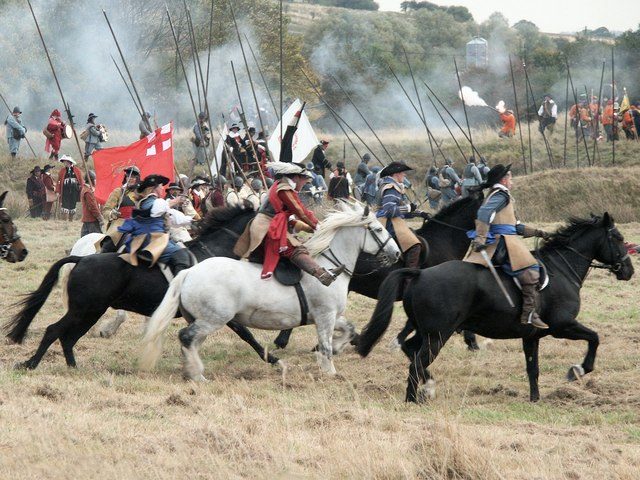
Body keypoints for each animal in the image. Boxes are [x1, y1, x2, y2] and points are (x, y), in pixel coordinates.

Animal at [3, 202, 280, 372]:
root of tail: (81, 258)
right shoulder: (218, 313)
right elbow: (246, 333)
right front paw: (272, 359)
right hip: (84, 310)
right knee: (54, 331)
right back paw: (31, 364)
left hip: (90, 312)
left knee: (68, 337)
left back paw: (72, 367)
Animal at [141, 204, 400, 380]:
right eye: (378, 228)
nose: (397, 253)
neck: (327, 266)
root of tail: (190, 271)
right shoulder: (325, 316)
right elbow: (326, 345)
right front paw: (330, 371)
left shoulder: (329, 316)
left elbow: (349, 329)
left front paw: (336, 349)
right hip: (213, 319)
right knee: (187, 337)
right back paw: (197, 375)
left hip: (203, 320)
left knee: (191, 342)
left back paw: (192, 371)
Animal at [358, 212, 632, 404]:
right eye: (618, 238)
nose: (629, 270)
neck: (560, 269)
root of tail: (420, 273)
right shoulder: (562, 326)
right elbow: (594, 338)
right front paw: (577, 370)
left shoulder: (531, 336)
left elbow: (533, 368)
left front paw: (535, 398)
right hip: (438, 335)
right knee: (416, 362)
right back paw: (416, 397)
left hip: (426, 332)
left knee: (410, 350)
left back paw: (423, 389)